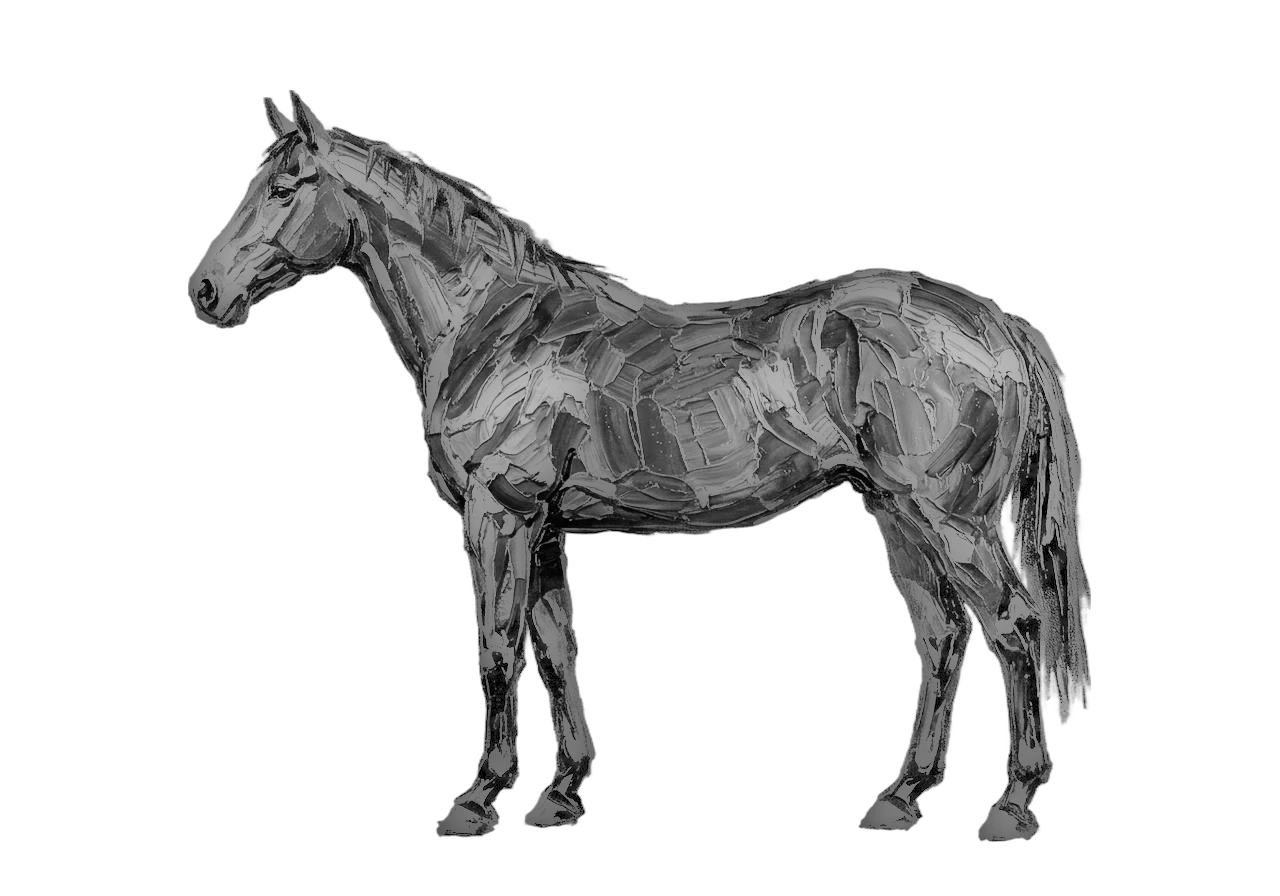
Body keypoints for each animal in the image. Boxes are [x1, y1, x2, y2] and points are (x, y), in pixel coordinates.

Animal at [185, 94, 1092, 843]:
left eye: (288, 185)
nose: (205, 292)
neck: (493, 326)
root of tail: (997, 329)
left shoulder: (499, 516)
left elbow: (498, 648)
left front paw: (477, 801)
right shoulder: (543, 529)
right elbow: (556, 652)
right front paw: (560, 797)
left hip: (954, 519)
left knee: (1012, 629)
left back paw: (1011, 808)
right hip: (897, 515)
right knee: (944, 636)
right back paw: (901, 800)